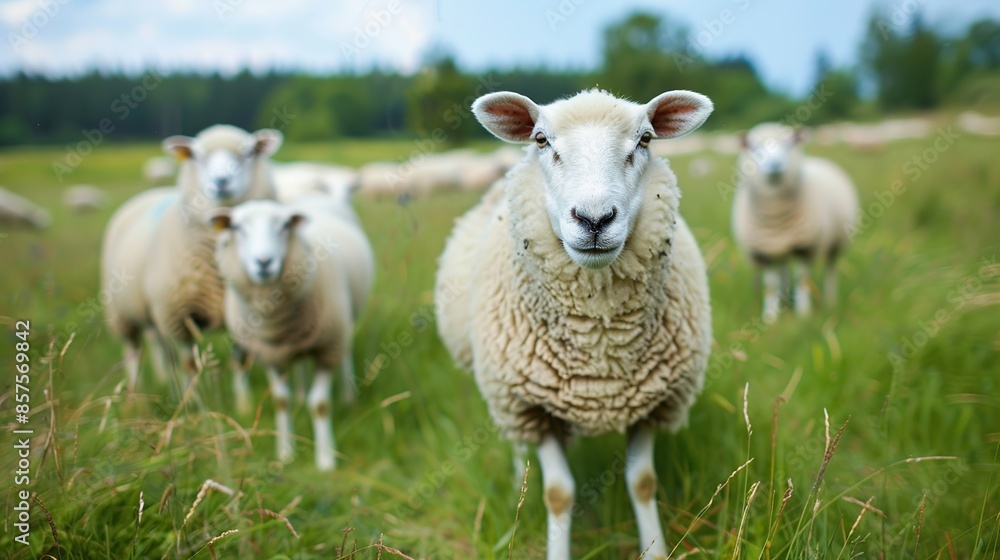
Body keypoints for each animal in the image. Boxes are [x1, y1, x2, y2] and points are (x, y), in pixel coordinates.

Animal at [101, 124, 284, 396]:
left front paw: (243, 403)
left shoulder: (244, 315)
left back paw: (165, 384)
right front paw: (194, 404)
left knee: (161, 350)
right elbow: (190, 367)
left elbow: (240, 361)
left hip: (153, 313)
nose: (221, 181)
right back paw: (136, 395)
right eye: (197, 156)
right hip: (123, 313)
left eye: (248, 153)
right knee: (133, 352)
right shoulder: (178, 317)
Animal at [209, 195, 374, 470]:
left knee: (345, 356)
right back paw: (300, 394)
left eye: (284, 226)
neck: (277, 322)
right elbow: (280, 401)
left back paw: (348, 397)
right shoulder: (269, 355)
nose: (264, 262)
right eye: (237, 228)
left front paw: (326, 459)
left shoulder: (326, 349)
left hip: (342, 327)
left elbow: (320, 405)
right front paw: (285, 452)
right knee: (299, 369)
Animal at [436, 88, 712, 560]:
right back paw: (519, 475)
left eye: (645, 140)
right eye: (541, 140)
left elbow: (643, 483)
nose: (595, 219)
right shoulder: (533, 405)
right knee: (519, 444)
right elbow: (558, 493)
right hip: (507, 396)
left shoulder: (655, 401)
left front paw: (655, 549)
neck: (599, 337)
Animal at [732, 124, 856, 322]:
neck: (775, 215)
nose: (775, 165)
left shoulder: (804, 246)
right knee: (783, 272)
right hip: (779, 249)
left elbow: (801, 279)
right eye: (754, 147)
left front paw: (803, 314)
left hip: (836, 242)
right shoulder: (764, 251)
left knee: (830, 271)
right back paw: (784, 303)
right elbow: (771, 284)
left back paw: (830, 302)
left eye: (789, 144)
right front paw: (770, 317)